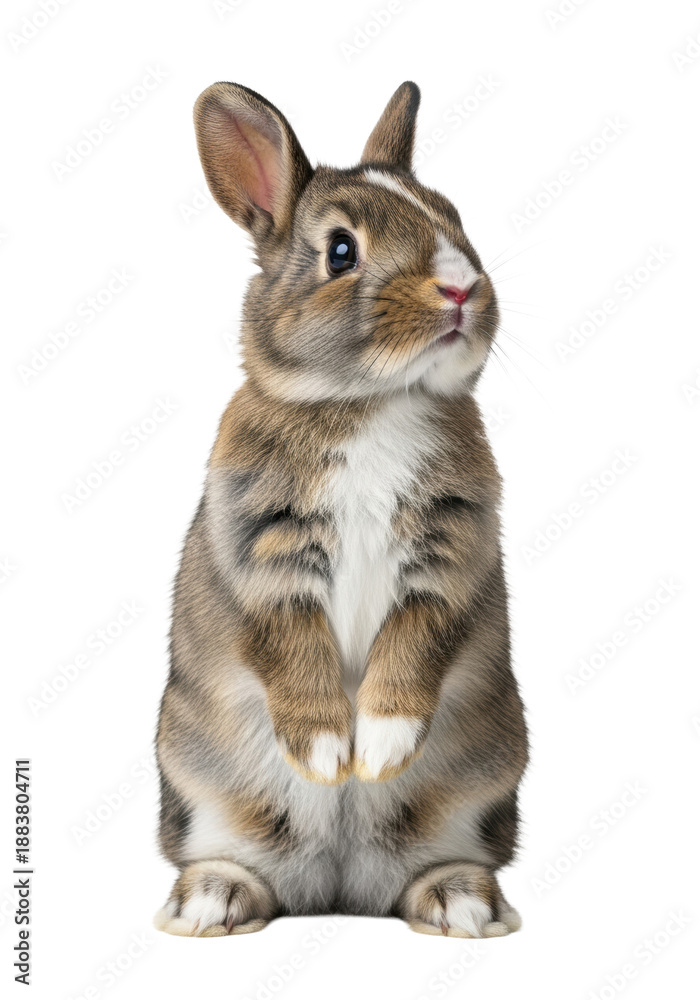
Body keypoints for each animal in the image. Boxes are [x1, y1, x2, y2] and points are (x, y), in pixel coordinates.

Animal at [154, 80, 529, 939]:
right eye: (341, 252)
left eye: (452, 214)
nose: (462, 289)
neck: (372, 401)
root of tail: (337, 890)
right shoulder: (266, 562)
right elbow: (292, 654)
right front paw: (332, 756)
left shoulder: (449, 562)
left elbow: (416, 645)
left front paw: (380, 751)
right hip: (201, 789)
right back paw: (209, 905)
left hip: (478, 795)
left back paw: (463, 906)